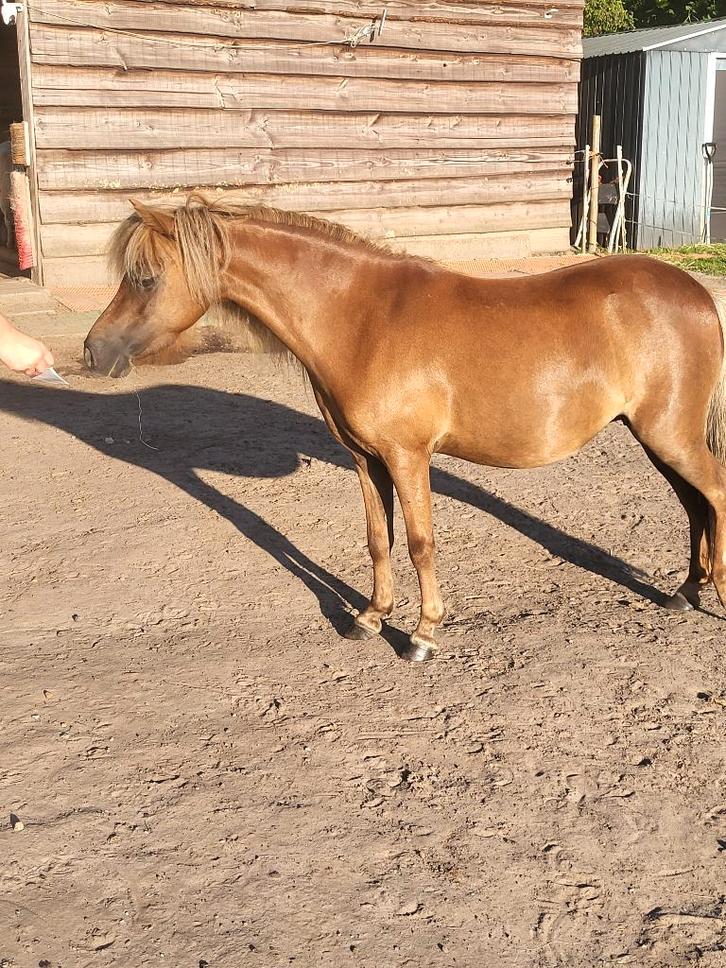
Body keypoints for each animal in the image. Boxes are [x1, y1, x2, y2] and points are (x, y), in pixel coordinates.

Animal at [84, 195, 726, 662]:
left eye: (145, 279)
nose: (95, 351)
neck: (362, 320)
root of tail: (695, 292)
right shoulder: (365, 458)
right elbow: (378, 539)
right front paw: (370, 618)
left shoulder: (407, 456)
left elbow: (420, 542)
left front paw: (423, 634)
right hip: (659, 438)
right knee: (694, 505)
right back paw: (684, 594)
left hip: (671, 435)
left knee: (714, 495)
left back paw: (713, 595)